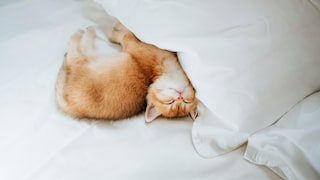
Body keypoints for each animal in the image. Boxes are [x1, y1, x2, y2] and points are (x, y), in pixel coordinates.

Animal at [55, 21, 198, 122]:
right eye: (170, 102)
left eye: (186, 102)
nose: (179, 96)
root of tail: (72, 107)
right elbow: (126, 35)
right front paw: (118, 27)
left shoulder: (135, 45)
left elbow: (126, 35)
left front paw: (118, 29)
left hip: (84, 61)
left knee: (74, 53)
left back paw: (83, 34)